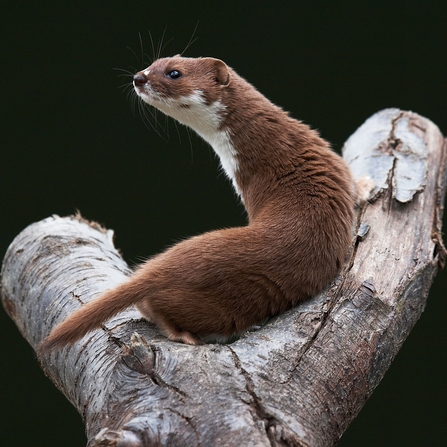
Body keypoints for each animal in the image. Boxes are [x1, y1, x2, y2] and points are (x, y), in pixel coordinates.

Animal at [38, 55, 356, 354]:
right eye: (152, 63)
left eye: (173, 72)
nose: (138, 77)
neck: (283, 150)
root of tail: (160, 268)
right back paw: (185, 335)